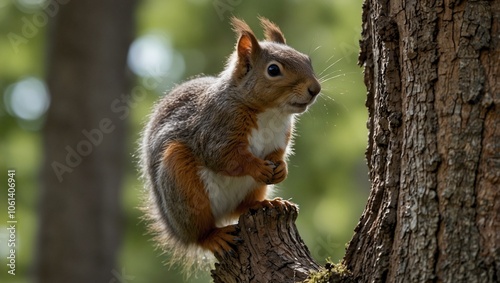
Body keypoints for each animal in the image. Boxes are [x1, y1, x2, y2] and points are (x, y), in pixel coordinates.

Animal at [139, 16, 322, 272]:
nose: (315, 89)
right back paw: (213, 237)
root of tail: (175, 231)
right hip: (183, 187)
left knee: (242, 207)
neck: (270, 113)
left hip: (252, 189)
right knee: (200, 233)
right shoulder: (215, 129)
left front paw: (281, 169)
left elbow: (279, 153)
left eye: (307, 60)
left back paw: (268, 203)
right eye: (273, 70)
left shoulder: (280, 138)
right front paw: (257, 167)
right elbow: (225, 158)